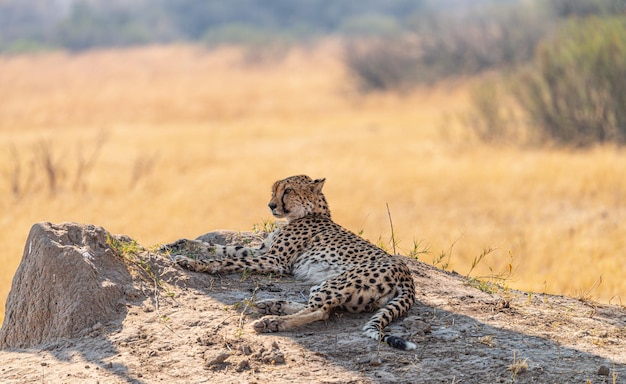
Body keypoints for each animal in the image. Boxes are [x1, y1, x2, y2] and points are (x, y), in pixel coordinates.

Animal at [165, 176, 414, 350]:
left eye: (288, 190)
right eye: (273, 190)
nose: (270, 206)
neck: (309, 213)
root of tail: (406, 274)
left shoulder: (275, 260)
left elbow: (228, 260)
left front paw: (193, 263)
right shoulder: (263, 250)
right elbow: (222, 248)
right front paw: (177, 245)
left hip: (338, 282)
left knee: (320, 311)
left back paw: (271, 321)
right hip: (336, 288)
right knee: (320, 307)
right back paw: (272, 304)